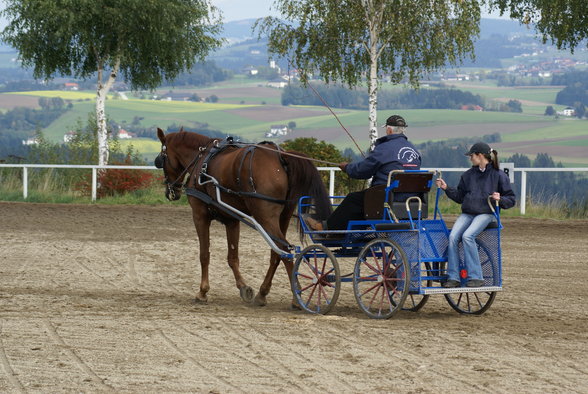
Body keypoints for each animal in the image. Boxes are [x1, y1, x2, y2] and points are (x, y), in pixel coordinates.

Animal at [154, 127, 334, 306]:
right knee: (276, 253)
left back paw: (297, 297)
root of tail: (281, 156)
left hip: (265, 217)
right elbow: (233, 257)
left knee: (285, 250)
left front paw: (203, 291)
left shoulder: (200, 216)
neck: (201, 159)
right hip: (284, 216)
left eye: (162, 158)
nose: (171, 192)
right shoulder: (232, 220)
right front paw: (244, 288)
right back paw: (263, 293)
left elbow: (204, 254)